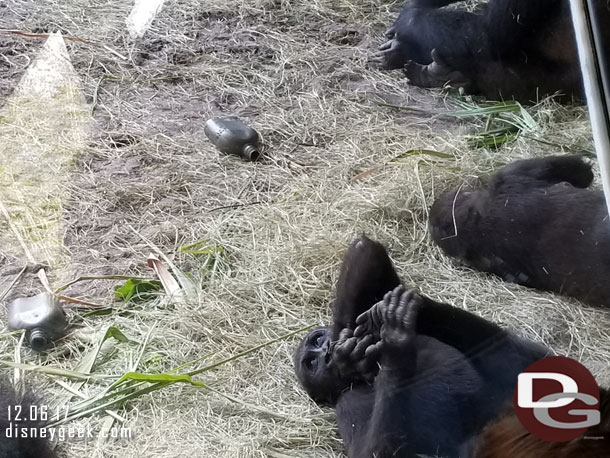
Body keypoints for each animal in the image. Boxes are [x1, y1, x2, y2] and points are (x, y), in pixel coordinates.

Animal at [292, 236, 608, 458]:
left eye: (316, 343)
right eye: (311, 363)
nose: (325, 351)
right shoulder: (348, 404)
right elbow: (378, 452)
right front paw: (393, 348)